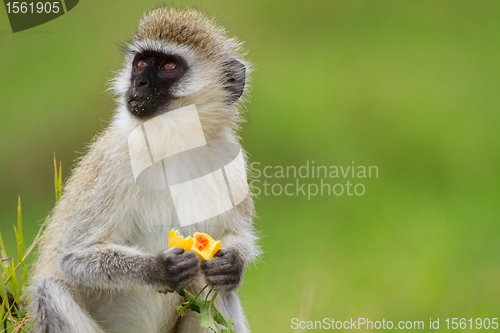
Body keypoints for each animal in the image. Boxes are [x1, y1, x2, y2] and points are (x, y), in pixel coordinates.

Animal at [27, 7, 260, 332]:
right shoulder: (115, 160)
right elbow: (71, 256)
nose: (138, 84)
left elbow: (234, 236)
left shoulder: (231, 159)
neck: (174, 143)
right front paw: (160, 268)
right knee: (49, 289)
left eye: (168, 65)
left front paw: (233, 263)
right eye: (140, 64)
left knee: (218, 293)